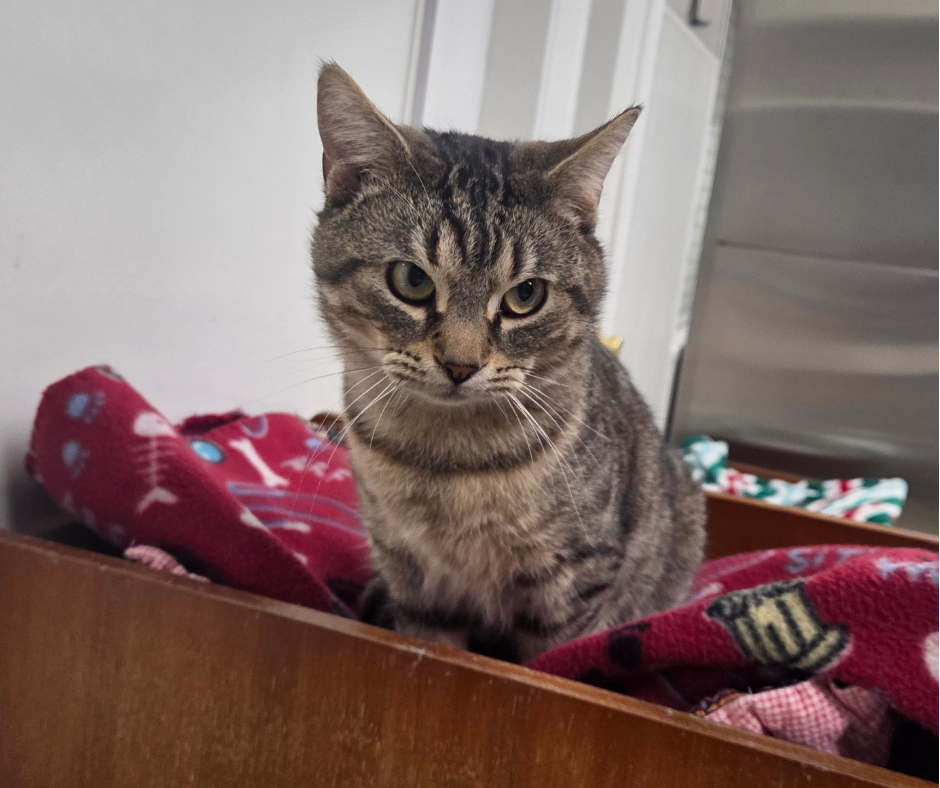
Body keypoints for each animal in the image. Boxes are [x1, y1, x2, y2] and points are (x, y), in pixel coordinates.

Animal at [311, 63, 705, 663]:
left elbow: (548, 662)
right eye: (412, 280)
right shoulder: (416, 582)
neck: (447, 462)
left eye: (526, 295)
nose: (460, 365)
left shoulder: (575, 582)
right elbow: (429, 644)